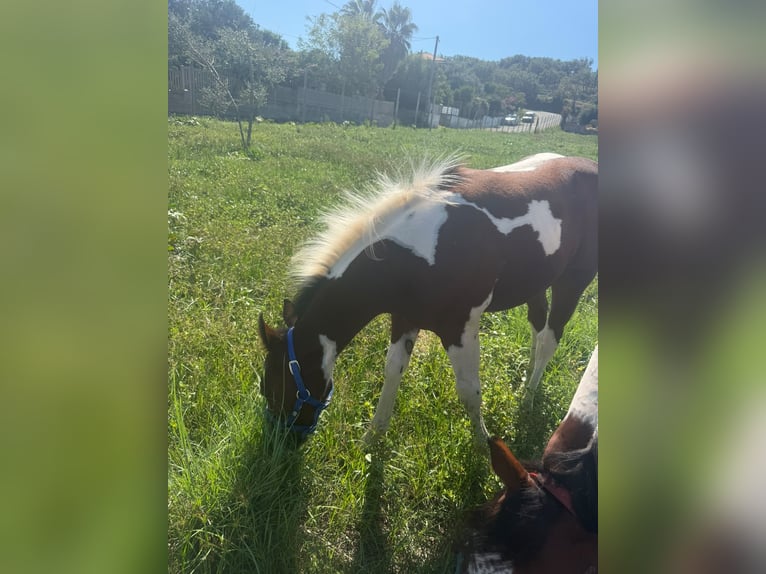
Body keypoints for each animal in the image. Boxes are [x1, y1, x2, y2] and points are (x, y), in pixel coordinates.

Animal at [258, 153, 597, 440]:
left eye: (277, 387)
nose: (281, 445)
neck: (418, 251)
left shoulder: (460, 329)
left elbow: (469, 391)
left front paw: (484, 445)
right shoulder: (405, 318)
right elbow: (392, 371)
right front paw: (372, 437)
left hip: (572, 281)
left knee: (550, 338)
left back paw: (528, 398)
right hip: (537, 283)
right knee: (537, 327)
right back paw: (526, 380)